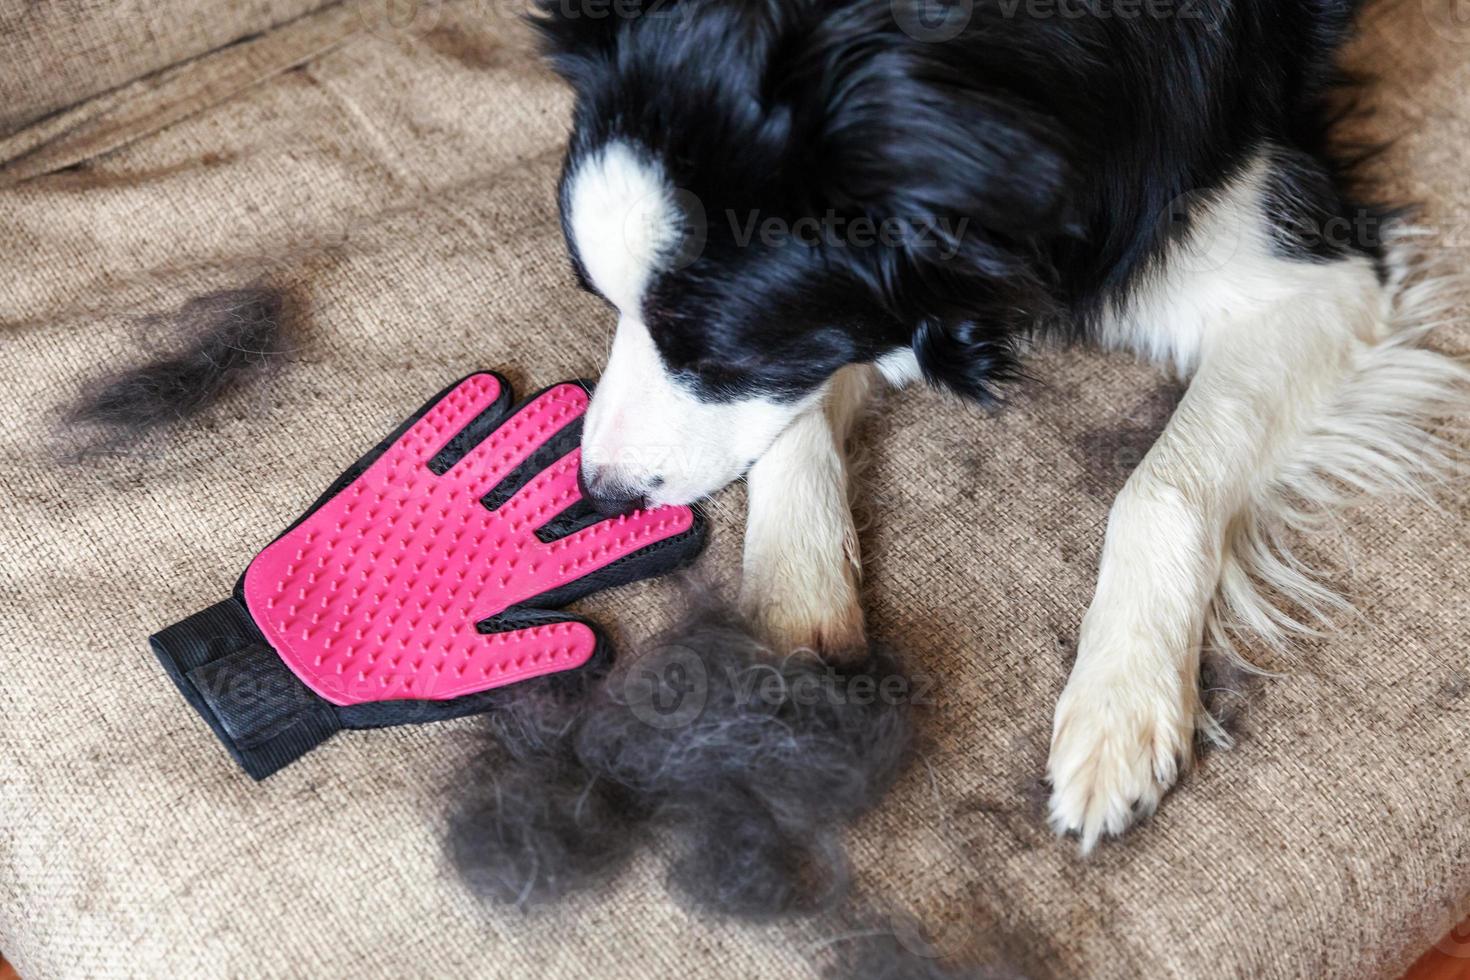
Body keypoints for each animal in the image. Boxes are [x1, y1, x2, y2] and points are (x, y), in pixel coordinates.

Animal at [535, 0, 1464, 852]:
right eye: (598, 299)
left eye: (717, 349)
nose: (599, 491)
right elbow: (800, 420)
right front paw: (787, 639)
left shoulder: (1310, 272)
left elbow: (1159, 489)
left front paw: (1119, 703)